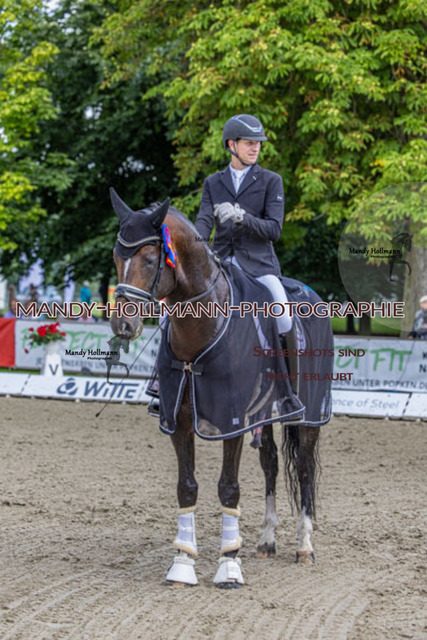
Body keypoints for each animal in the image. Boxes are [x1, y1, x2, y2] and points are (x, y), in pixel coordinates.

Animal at [109, 189, 332, 588]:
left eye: (150, 259)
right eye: (117, 257)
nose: (123, 325)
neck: (202, 328)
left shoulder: (233, 421)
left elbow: (229, 486)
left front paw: (229, 565)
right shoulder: (179, 420)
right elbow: (186, 486)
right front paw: (182, 562)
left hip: (309, 416)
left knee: (305, 470)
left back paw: (305, 547)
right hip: (265, 414)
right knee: (271, 464)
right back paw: (266, 539)